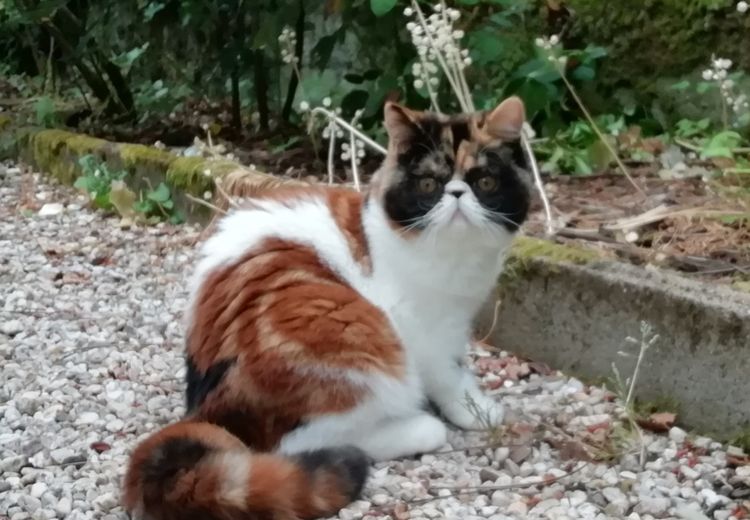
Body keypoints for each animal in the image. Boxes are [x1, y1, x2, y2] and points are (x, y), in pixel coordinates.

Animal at [123, 97, 532, 520]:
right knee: (299, 441)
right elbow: (447, 375)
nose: (456, 193)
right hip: (354, 340)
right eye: (428, 184)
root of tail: (205, 409)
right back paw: (417, 427)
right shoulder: (423, 331)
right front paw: (473, 410)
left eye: (485, 182)